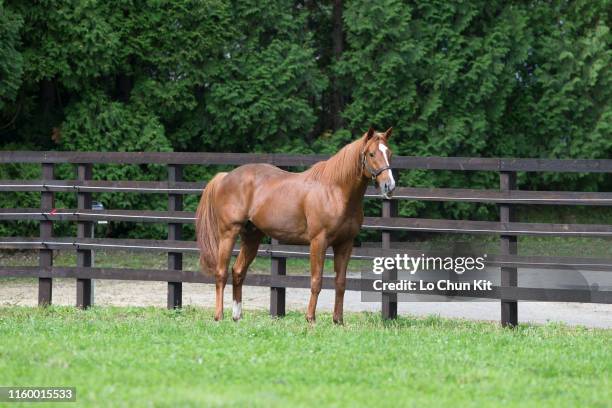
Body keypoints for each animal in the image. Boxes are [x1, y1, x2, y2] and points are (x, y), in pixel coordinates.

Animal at [196, 126, 396, 324]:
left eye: (389, 153)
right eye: (371, 154)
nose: (389, 185)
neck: (335, 191)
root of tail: (225, 177)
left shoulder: (345, 244)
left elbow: (340, 283)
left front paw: (338, 321)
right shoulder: (318, 242)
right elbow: (316, 281)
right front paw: (310, 319)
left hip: (252, 237)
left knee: (238, 271)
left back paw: (237, 316)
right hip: (228, 233)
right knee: (221, 273)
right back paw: (219, 316)